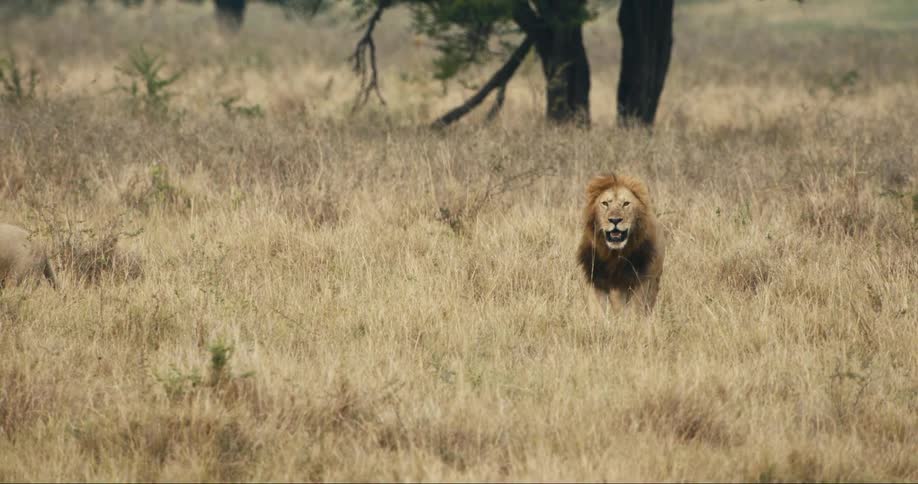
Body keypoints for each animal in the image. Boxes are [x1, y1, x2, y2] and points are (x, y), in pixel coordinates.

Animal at [576, 174, 663, 315]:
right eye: (605, 203)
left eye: (626, 203)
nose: (615, 220)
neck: (614, 255)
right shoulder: (595, 280)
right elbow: (597, 310)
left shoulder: (640, 282)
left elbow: (634, 310)